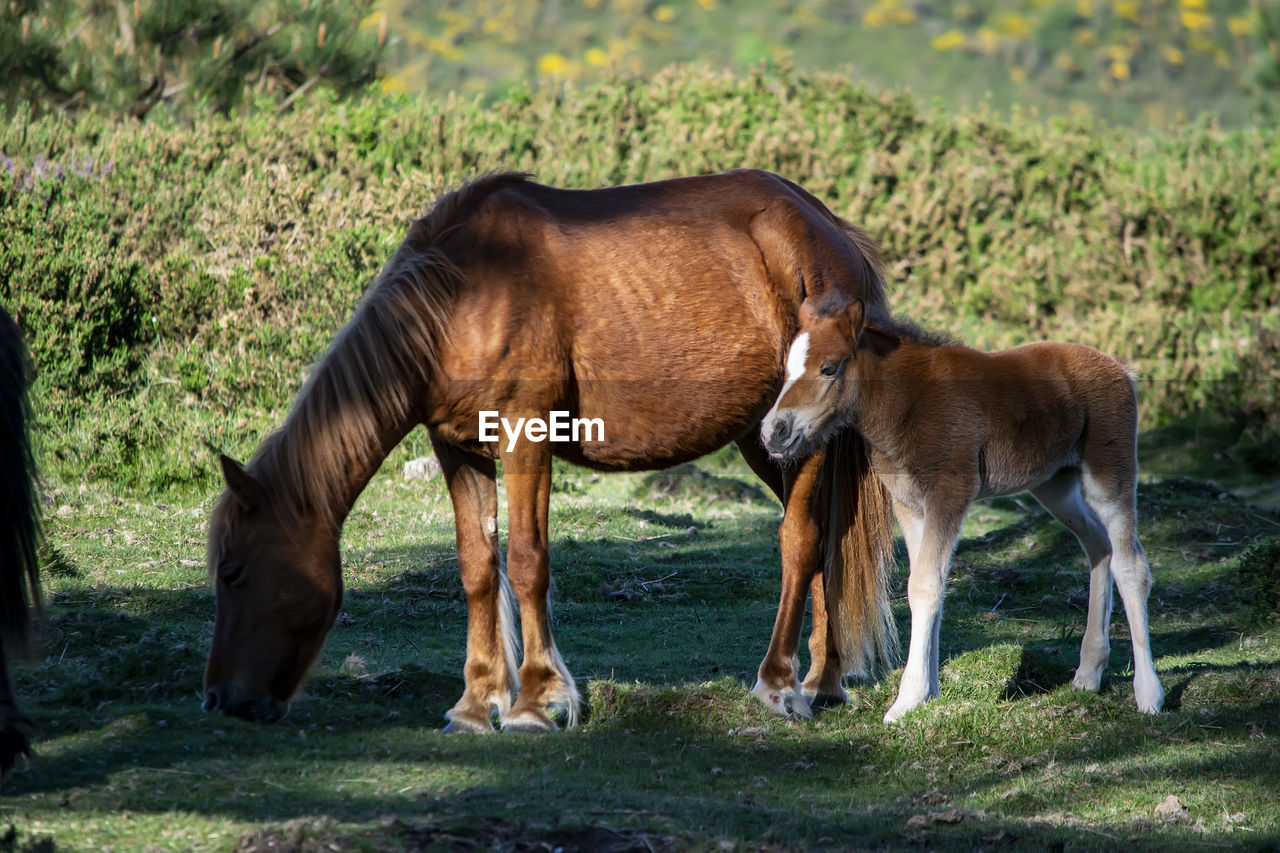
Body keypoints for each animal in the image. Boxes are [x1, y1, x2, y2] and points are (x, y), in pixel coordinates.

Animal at [202, 169, 901, 727]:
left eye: (233, 572)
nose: (220, 701)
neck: (463, 297)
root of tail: (828, 228)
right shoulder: (459, 449)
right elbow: (477, 569)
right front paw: (476, 703)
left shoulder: (524, 434)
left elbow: (527, 563)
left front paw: (536, 701)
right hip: (764, 437)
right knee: (826, 545)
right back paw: (822, 682)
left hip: (799, 440)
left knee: (800, 541)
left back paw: (780, 684)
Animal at [762, 295, 1167, 722]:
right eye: (787, 368)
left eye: (829, 367)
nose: (773, 431)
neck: (908, 402)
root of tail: (1120, 367)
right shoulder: (910, 505)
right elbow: (930, 586)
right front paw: (929, 694)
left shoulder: (949, 494)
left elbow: (924, 585)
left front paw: (906, 700)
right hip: (1055, 485)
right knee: (1098, 548)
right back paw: (1088, 673)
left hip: (1110, 476)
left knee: (1131, 564)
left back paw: (1148, 694)